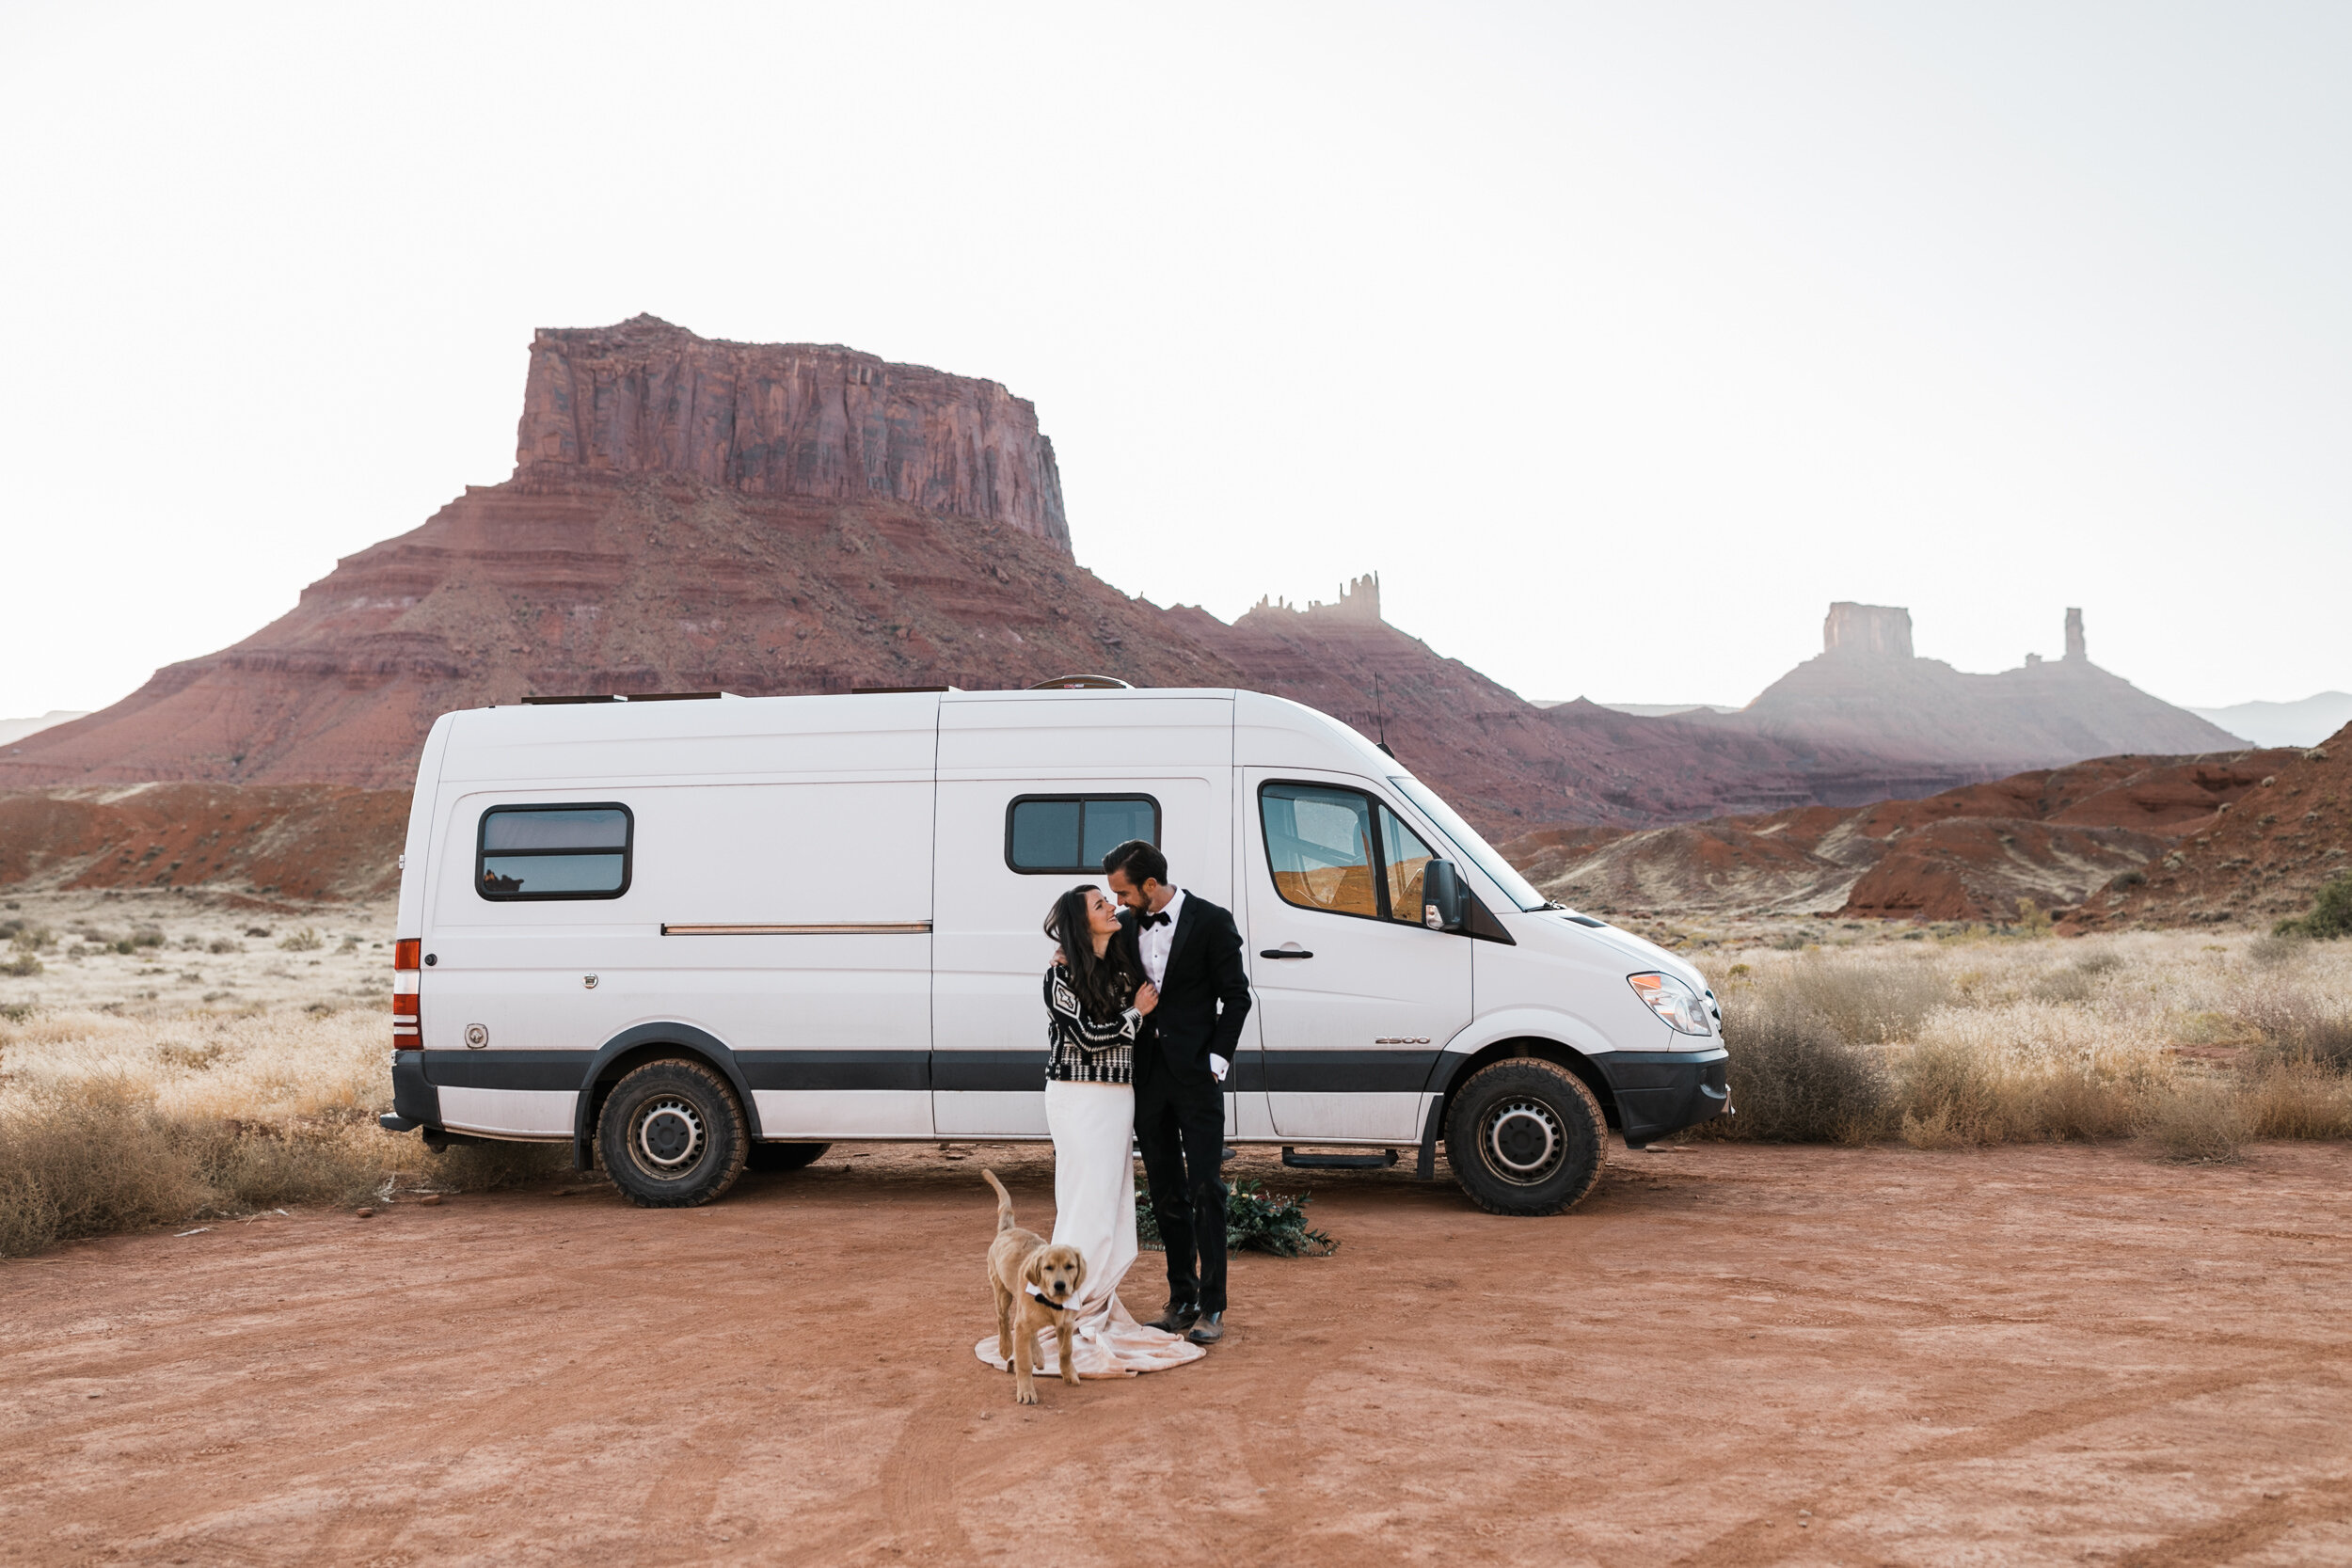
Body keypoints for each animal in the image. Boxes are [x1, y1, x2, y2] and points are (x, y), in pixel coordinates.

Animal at [983, 1165, 1082, 1410]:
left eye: (1070, 1266)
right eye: (1048, 1268)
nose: (1060, 1285)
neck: (1052, 1304)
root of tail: (1006, 1230)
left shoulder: (1066, 1324)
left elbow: (1066, 1351)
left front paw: (1069, 1374)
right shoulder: (1024, 1324)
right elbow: (1023, 1363)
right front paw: (1026, 1392)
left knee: (1029, 1329)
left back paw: (1038, 1353)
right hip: (1002, 1293)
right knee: (1003, 1318)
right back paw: (1005, 1347)